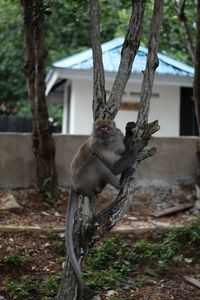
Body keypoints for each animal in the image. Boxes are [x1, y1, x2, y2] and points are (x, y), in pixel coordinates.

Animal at [66, 118, 146, 298]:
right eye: (99, 129)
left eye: (107, 128)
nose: (102, 133)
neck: (108, 143)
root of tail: (73, 184)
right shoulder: (97, 147)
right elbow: (114, 167)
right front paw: (137, 147)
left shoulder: (117, 139)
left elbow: (123, 151)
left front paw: (129, 130)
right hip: (84, 180)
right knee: (95, 161)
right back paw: (120, 184)